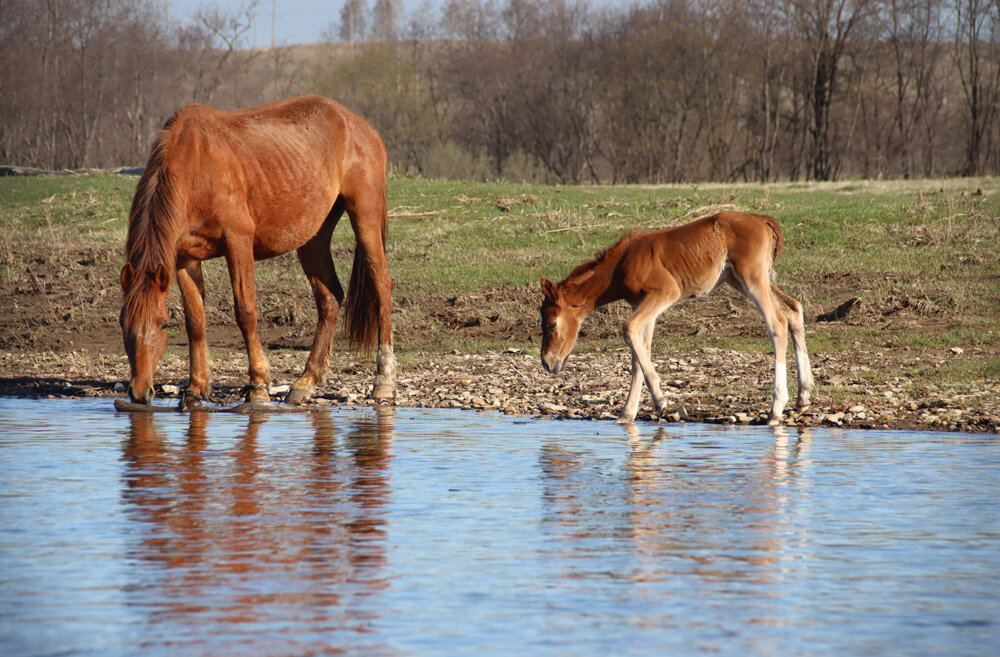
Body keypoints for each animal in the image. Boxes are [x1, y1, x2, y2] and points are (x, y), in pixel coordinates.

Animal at [119, 95, 392, 408]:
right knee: (330, 299)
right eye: (123, 322)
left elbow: (245, 311)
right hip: (313, 237)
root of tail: (360, 126)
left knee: (382, 286)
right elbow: (195, 321)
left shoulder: (238, 241)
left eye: (163, 325)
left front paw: (258, 384)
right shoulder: (184, 258)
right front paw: (196, 388)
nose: (140, 392)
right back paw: (306, 382)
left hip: (364, 216)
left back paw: (384, 381)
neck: (197, 164)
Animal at [540, 211, 812, 426]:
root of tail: (762, 219)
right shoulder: (644, 304)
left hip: (752, 278)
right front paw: (627, 415)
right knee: (793, 310)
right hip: (740, 279)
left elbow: (628, 328)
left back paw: (776, 409)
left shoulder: (665, 292)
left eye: (552, 323)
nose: (547, 362)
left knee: (777, 324)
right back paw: (803, 396)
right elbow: (639, 352)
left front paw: (660, 400)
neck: (622, 264)